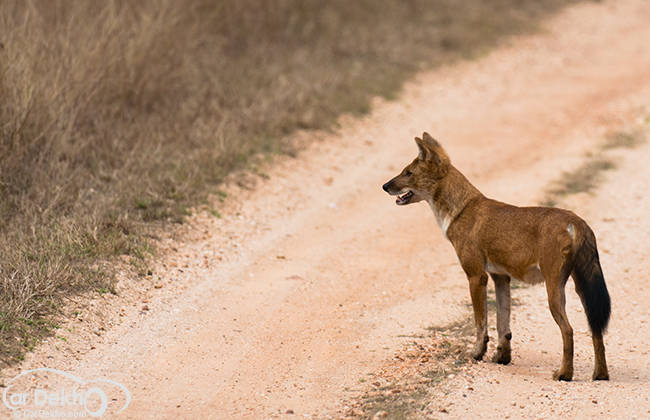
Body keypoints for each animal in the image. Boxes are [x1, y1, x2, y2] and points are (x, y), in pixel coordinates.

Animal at [380, 134, 608, 380]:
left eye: (408, 172)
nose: (384, 186)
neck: (461, 209)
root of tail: (577, 221)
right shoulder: (501, 277)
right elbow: (503, 324)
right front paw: (502, 357)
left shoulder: (476, 276)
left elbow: (481, 322)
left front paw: (477, 353)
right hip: (582, 287)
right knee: (596, 330)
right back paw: (600, 374)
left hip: (554, 287)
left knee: (569, 330)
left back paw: (564, 373)